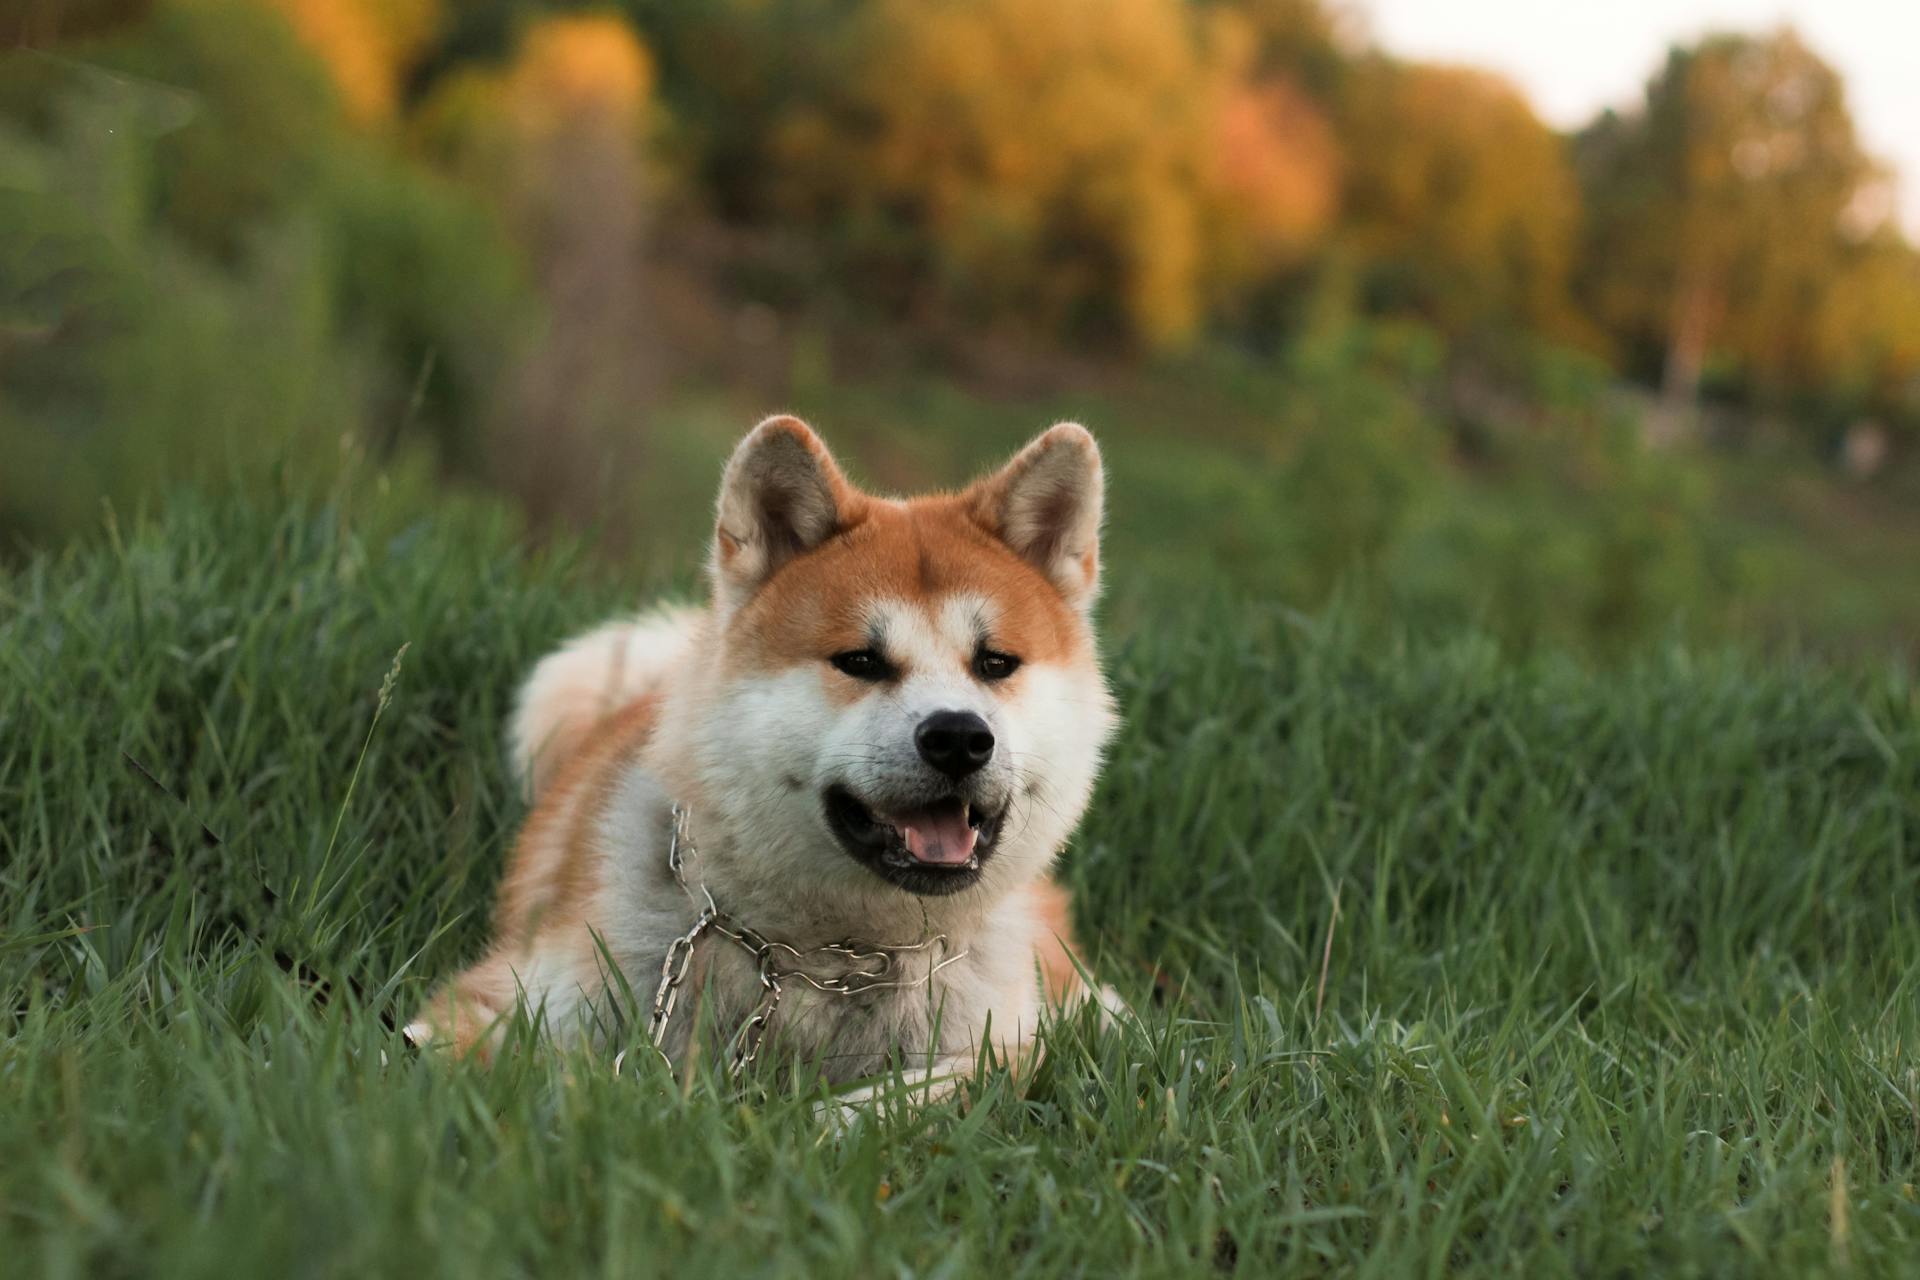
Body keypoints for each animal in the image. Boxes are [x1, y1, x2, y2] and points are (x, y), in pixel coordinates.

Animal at [412, 412, 1121, 1090]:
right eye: (860, 661)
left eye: (995, 662)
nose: (958, 738)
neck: (826, 960)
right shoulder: (492, 1002)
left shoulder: (1008, 1046)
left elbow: (895, 1101)